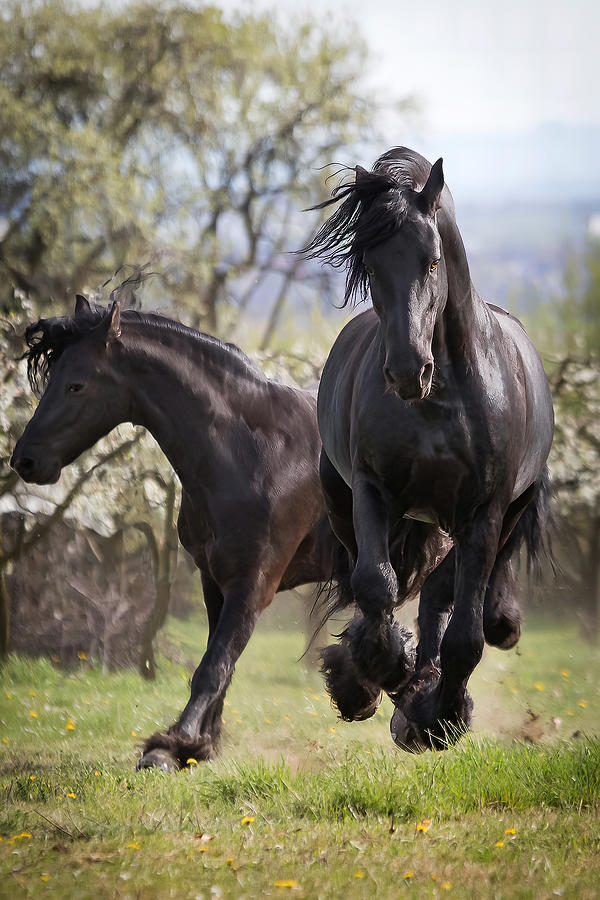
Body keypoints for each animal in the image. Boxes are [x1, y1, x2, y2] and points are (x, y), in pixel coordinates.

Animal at [9, 298, 350, 768]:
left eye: (77, 385)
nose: (24, 460)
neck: (257, 453)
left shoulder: (255, 583)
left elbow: (213, 666)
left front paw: (171, 745)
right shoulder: (214, 581)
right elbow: (219, 662)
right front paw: (198, 746)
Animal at [302, 148, 556, 748]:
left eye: (432, 261)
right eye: (372, 267)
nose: (406, 371)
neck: (442, 400)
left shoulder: (486, 512)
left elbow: (465, 635)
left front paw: (436, 713)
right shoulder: (372, 489)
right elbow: (375, 585)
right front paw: (385, 673)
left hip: (498, 518)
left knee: (442, 594)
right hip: (344, 499)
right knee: (370, 583)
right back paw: (370, 680)